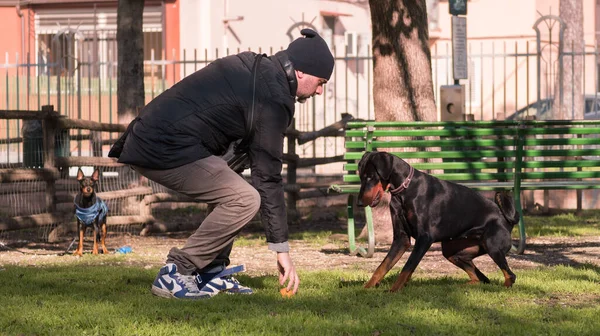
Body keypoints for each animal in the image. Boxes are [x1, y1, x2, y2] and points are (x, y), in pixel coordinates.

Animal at [356, 152, 520, 292]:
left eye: (370, 177)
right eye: (361, 177)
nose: (359, 203)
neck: (404, 190)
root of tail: (506, 219)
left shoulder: (424, 238)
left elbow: (407, 267)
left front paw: (393, 290)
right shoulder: (401, 239)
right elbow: (382, 266)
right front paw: (366, 288)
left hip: (493, 246)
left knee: (510, 275)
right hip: (452, 251)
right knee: (481, 279)